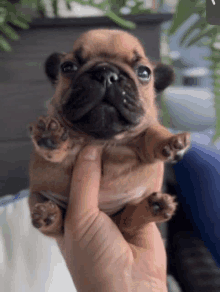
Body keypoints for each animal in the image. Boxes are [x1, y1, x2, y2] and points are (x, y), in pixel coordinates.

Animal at [27, 28, 189, 238]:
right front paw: (50, 136)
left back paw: (155, 206)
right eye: (67, 67)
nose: (105, 73)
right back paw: (49, 214)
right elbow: (58, 148)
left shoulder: (141, 140)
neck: (102, 140)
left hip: (125, 220)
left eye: (144, 72)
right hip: (37, 199)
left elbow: (152, 132)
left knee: (130, 220)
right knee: (56, 226)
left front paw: (170, 141)